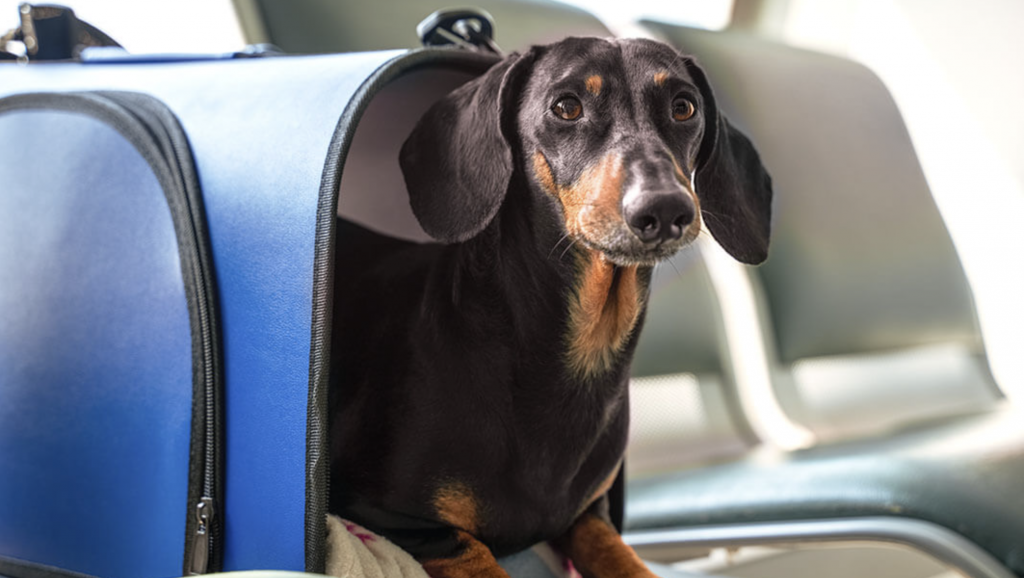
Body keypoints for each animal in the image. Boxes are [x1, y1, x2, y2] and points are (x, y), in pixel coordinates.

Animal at [331, 37, 770, 578]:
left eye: (684, 107)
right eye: (566, 107)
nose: (666, 210)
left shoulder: (588, 516)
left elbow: (620, 557)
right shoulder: (385, 513)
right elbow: (473, 552)